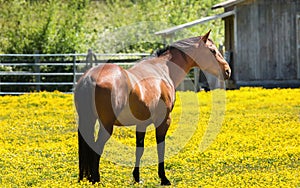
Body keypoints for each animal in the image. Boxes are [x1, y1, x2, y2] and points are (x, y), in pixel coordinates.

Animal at [74, 30, 230, 185]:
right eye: (212, 50)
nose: (227, 70)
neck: (163, 70)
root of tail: (89, 78)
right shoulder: (164, 121)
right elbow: (161, 148)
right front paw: (164, 178)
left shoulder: (141, 124)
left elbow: (139, 149)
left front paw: (137, 178)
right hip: (106, 126)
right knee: (97, 147)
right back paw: (96, 180)